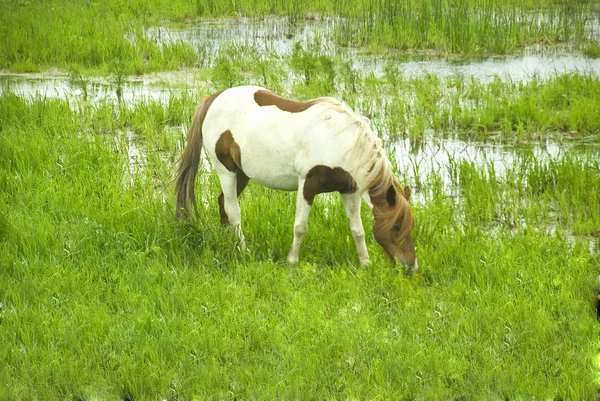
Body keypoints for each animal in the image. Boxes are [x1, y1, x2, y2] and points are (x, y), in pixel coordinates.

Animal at [176, 85, 414, 268]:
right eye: (396, 226)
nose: (410, 267)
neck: (339, 140)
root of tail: (212, 99)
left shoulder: (349, 190)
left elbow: (358, 230)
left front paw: (365, 263)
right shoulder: (307, 184)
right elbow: (300, 226)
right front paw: (292, 261)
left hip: (242, 173)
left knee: (223, 203)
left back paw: (229, 242)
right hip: (225, 169)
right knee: (233, 211)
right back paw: (244, 250)